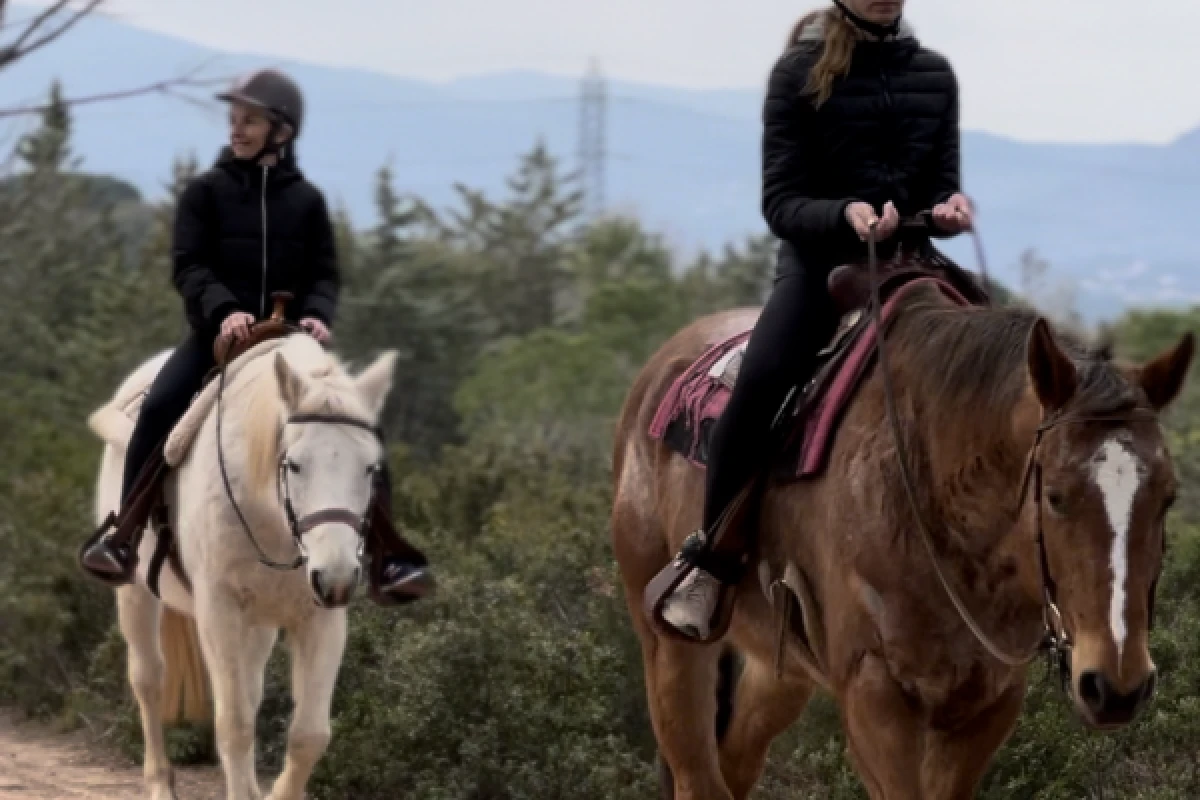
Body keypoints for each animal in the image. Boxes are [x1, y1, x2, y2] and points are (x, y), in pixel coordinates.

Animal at [90, 335, 398, 800]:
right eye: (295, 464)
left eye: (369, 468)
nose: (337, 579)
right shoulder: (219, 611)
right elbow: (234, 725)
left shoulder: (321, 618)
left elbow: (309, 735)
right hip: (136, 593)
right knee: (149, 680)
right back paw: (161, 783)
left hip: (260, 622)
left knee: (251, 692)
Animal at [614, 281, 1195, 800]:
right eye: (1054, 496)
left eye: (1168, 497)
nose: (1116, 687)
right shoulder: (872, 694)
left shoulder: (987, 703)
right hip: (670, 650)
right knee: (698, 778)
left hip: (777, 673)